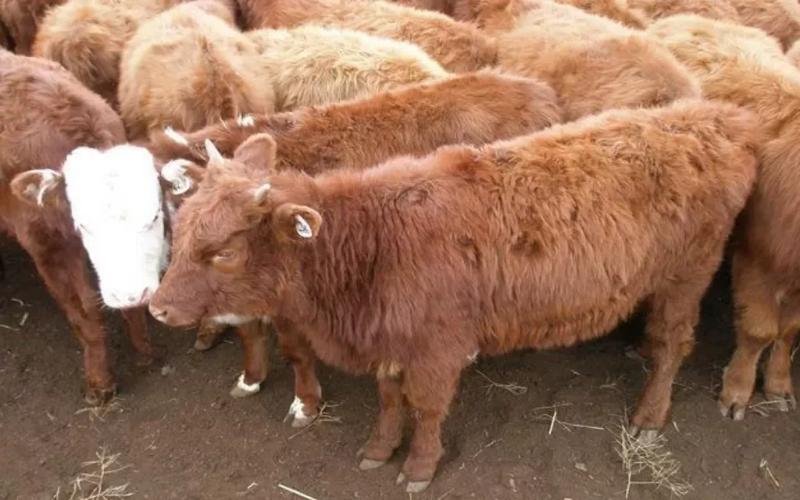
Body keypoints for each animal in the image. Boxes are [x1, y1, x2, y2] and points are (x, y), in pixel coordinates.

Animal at [148, 99, 760, 492]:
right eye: (183, 225)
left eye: (224, 251)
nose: (156, 305)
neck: (373, 243)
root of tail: (716, 116)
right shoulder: (391, 341)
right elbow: (389, 399)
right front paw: (378, 449)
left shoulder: (436, 349)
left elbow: (425, 407)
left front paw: (419, 466)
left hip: (689, 275)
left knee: (674, 343)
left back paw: (650, 412)